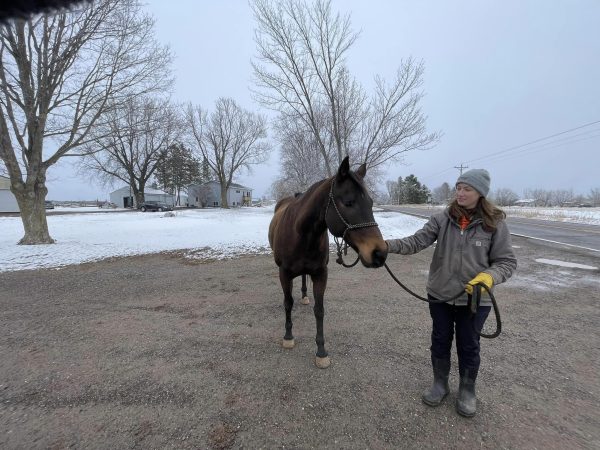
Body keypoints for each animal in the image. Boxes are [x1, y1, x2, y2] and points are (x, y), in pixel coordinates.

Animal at [268, 156, 390, 368]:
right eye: (349, 202)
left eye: (371, 203)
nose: (379, 253)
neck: (300, 233)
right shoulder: (284, 274)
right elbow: (288, 303)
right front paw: (288, 337)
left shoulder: (320, 274)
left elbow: (319, 310)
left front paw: (321, 352)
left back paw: (305, 296)